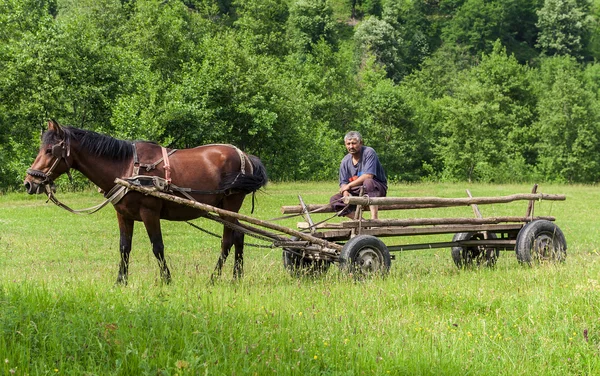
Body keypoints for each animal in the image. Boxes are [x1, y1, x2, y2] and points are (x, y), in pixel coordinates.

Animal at [23, 119, 268, 282]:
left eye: (49, 150)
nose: (29, 183)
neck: (127, 167)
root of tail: (245, 156)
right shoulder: (123, 214)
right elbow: (124, 247)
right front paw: (120, 281)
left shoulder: (149, 212)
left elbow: (157, 247)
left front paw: (167, 280)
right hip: (225, 208)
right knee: (239, 236)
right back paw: (236, 278)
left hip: (231, 203)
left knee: (227, 241)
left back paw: (214, 278)